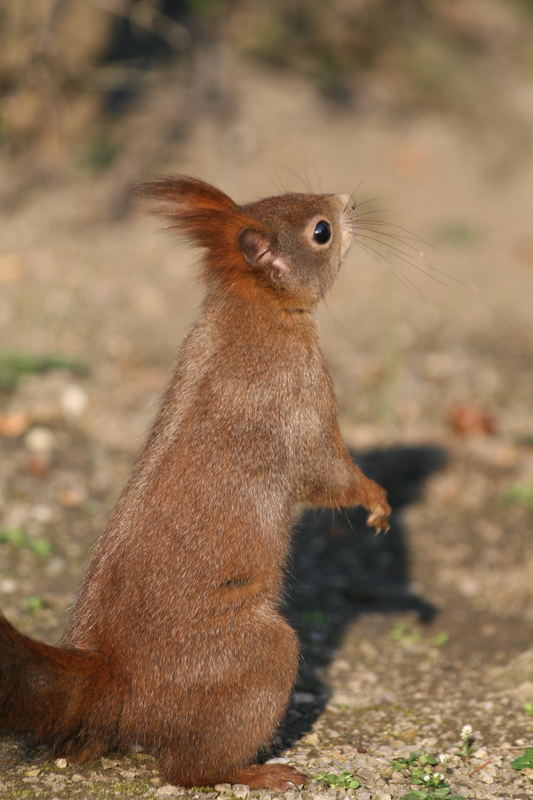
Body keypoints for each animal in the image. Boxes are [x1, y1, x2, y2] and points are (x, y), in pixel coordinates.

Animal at [1, 178, 390, 792]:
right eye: (320, 232)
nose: (348, 201)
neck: (253, 308)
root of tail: (116, 683)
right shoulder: (296, 400)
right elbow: (328, 473)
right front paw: (376, 499)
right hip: (257, 658)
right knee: (187, 769)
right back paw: (258, 772)